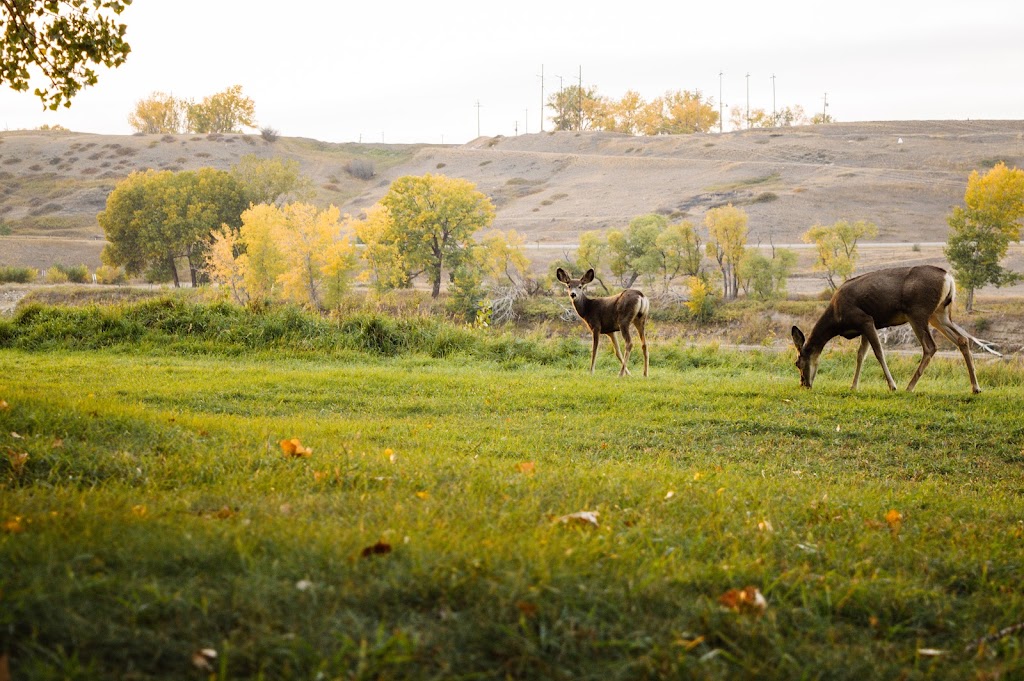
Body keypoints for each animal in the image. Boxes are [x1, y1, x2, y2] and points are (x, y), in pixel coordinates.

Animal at [790, 266, 999, 393]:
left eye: (797, 363)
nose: (803, 384)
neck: (837, 319)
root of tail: (948, 278)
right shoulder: (865, 326)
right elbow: (860, 355)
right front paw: (853, 386)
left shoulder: (865, 319)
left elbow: (878, 352)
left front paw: (892, 385)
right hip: (940, 314)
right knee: (963, 339)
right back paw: (976, 388)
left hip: (918, 312)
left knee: (930, 346)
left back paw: (909, 386)